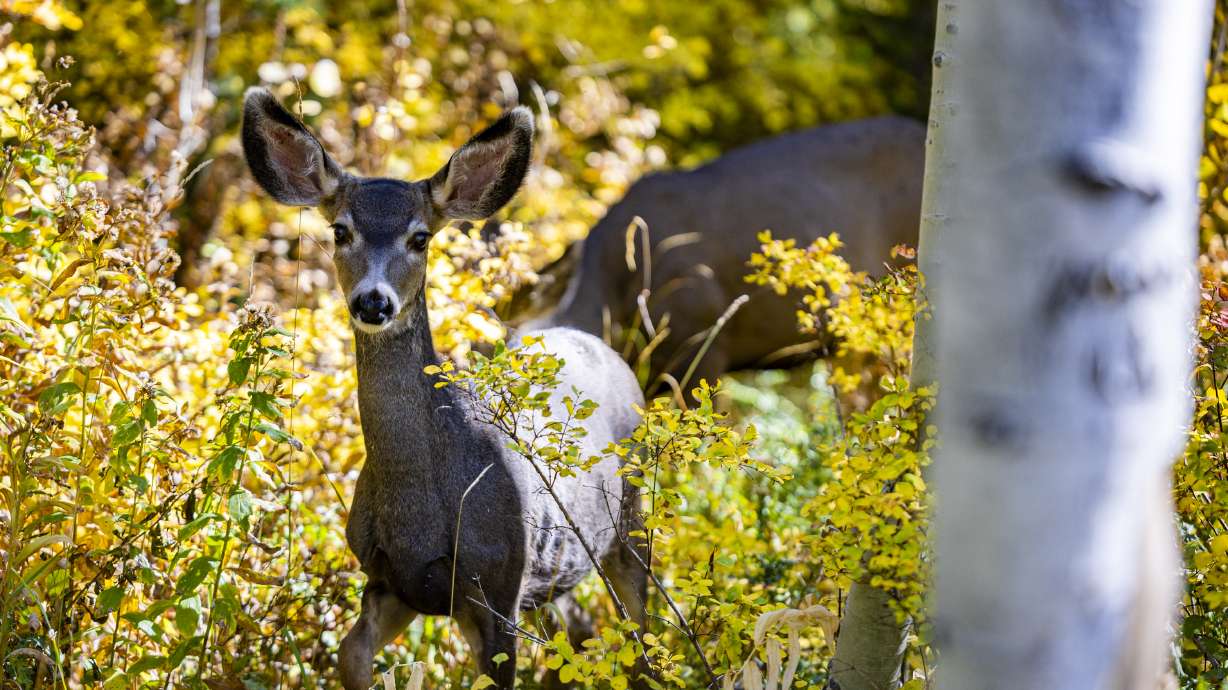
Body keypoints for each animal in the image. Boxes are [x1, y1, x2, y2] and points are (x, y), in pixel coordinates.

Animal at [240, 88, 648, 690]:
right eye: (340, 231)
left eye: (420, 237)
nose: (374, 301)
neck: (421, 507)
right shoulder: (390, 581)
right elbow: (351, 655)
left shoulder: (499, 585)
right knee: (577, 633)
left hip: (633, 519)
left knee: (644, 633)